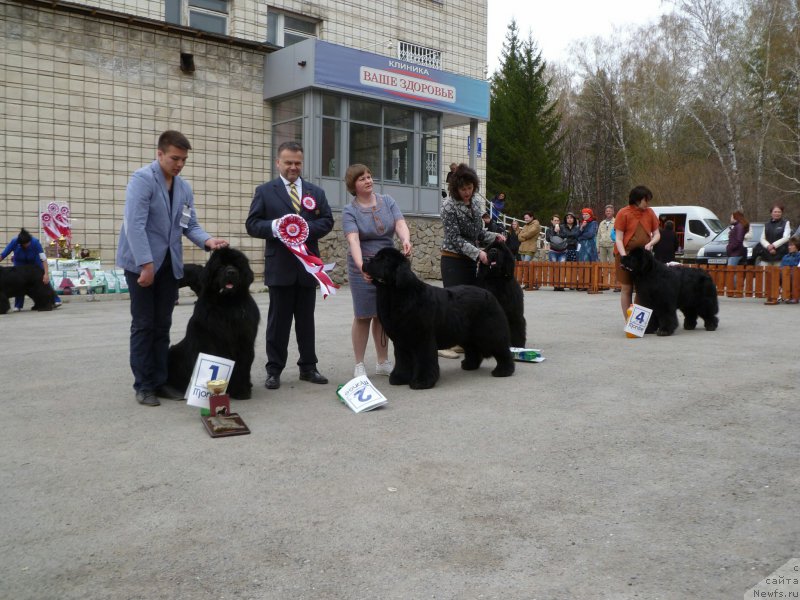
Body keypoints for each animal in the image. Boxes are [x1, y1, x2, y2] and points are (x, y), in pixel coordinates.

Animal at [360, 247, 512, 392]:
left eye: (384, 259)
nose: (365, 259)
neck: (395, 295)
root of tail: (489, 294)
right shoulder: (400, 340)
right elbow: (402, 359)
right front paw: (399, 377)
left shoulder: (423, 338)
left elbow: (424, 360)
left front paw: (422, 382)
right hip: (466, 334)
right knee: (472, 349)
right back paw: (470, 365)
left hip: (489, 332)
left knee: (502, 349)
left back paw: (504, 370)